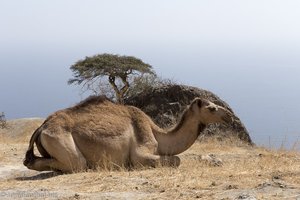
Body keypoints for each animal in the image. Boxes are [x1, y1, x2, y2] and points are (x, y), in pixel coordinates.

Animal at [24, 95, 234, 172]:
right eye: (212, 108)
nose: (229, 116)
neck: (158, 134)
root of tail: (42, 127)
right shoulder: (141, 152)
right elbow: (176, 159)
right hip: (60, 139)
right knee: (76, 163)